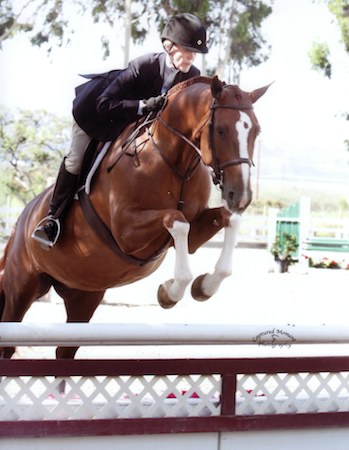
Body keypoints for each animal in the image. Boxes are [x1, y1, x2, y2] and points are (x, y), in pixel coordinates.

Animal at [0, 75, 270, 360]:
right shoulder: (126, 231)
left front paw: (204, 286)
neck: (173, 160)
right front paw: (170, 292)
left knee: (65, 349)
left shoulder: (195, 233)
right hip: (22, 286)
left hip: (83, 296)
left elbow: (229, 220)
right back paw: (46, 229)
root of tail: (22, 220)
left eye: (256, 131)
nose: (240, 196)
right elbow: (176, 220)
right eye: (220, 130)